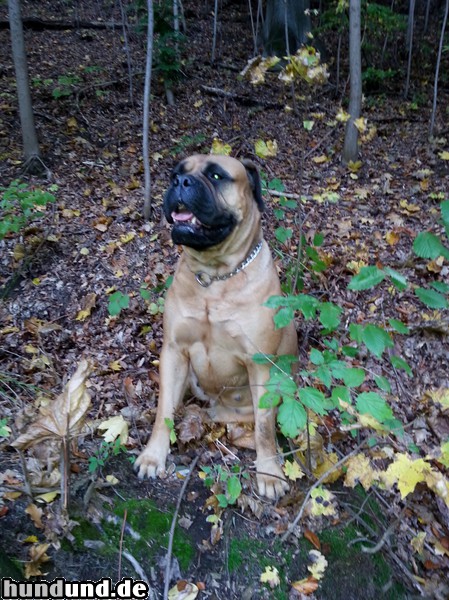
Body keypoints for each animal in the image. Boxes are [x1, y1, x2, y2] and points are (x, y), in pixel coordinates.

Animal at [136, 154, 298, 496]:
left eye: (216, 175)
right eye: (175, 174)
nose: (180, 183)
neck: (214, 277)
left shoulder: (260, 364)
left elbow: (264, 428)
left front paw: (269, 473)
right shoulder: (174, 351)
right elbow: (162, 412)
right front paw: (153, 456)